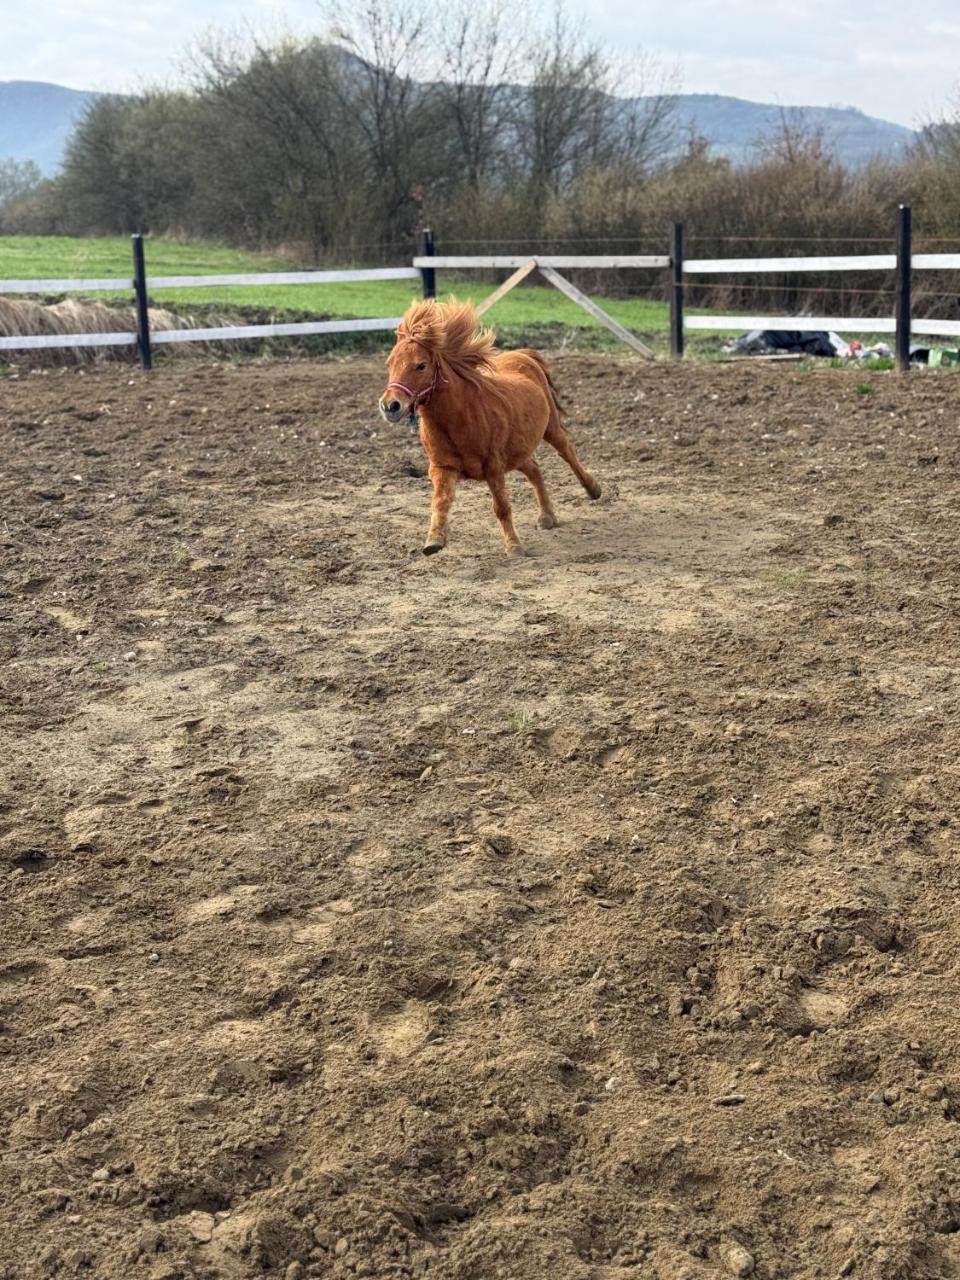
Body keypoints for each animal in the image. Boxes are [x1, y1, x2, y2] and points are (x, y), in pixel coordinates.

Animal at [378, 299, 601, 557]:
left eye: (421, 365)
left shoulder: (493, 467)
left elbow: (502, 507)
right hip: (517, 452)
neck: (459, 419)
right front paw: (434, 540)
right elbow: (441, 501)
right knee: (535, 470)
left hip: (551, 429)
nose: (390, 405)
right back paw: (546, 516)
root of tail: (523, 355)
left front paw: (514, 547)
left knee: (567, 453)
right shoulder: (442, 468)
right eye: (390, 363)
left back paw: (593, 489)